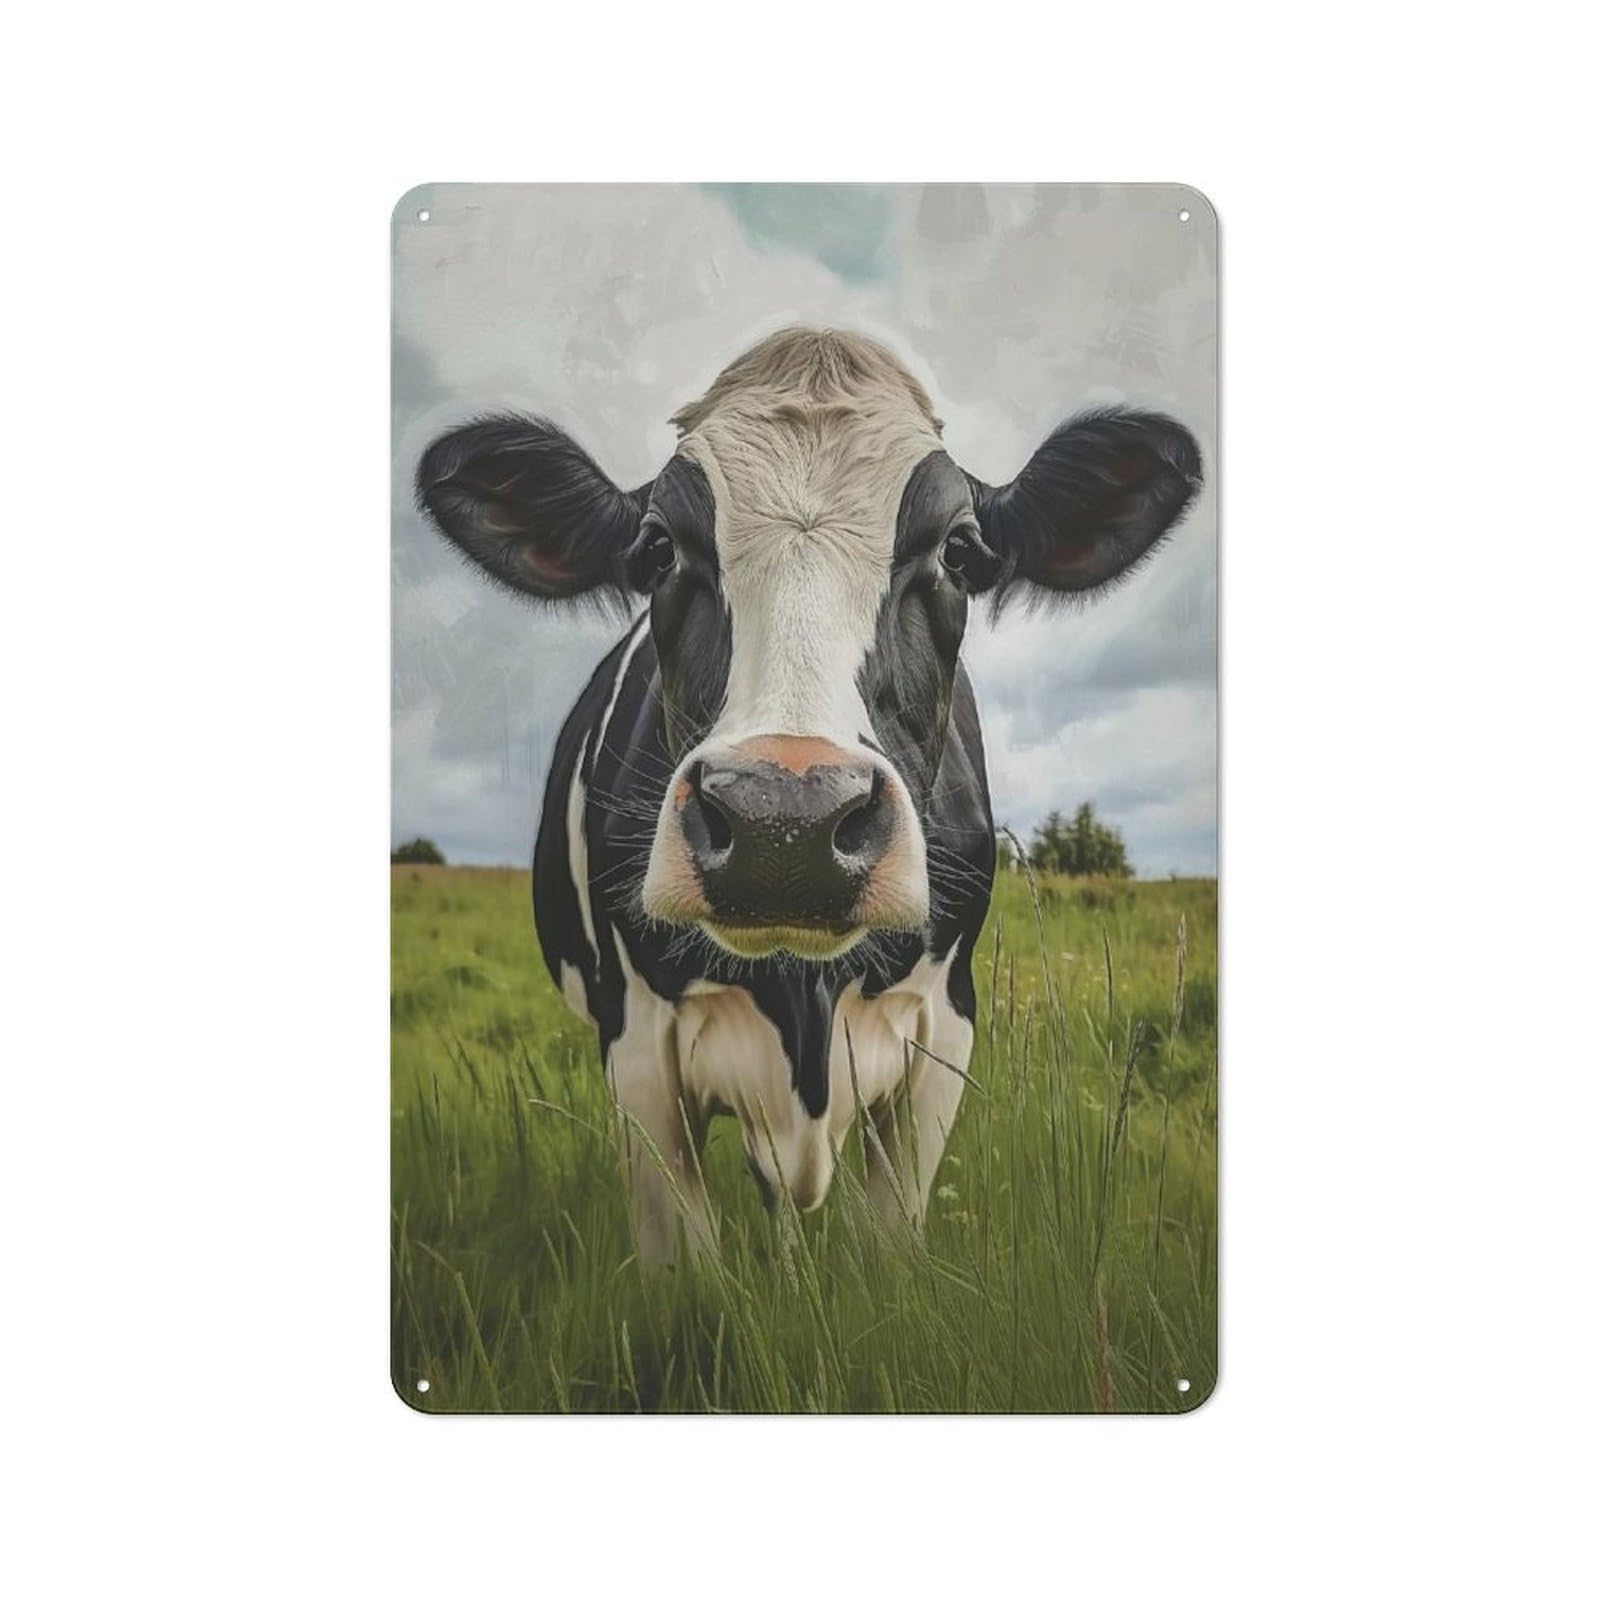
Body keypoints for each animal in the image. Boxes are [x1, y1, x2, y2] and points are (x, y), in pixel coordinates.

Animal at [416, 328, 1201, 1266]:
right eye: (658, 548)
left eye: (958, 550)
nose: (783, 824)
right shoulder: (634, 1042)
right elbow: (686, 1269)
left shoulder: (946, 1026)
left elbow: (888, 1246)